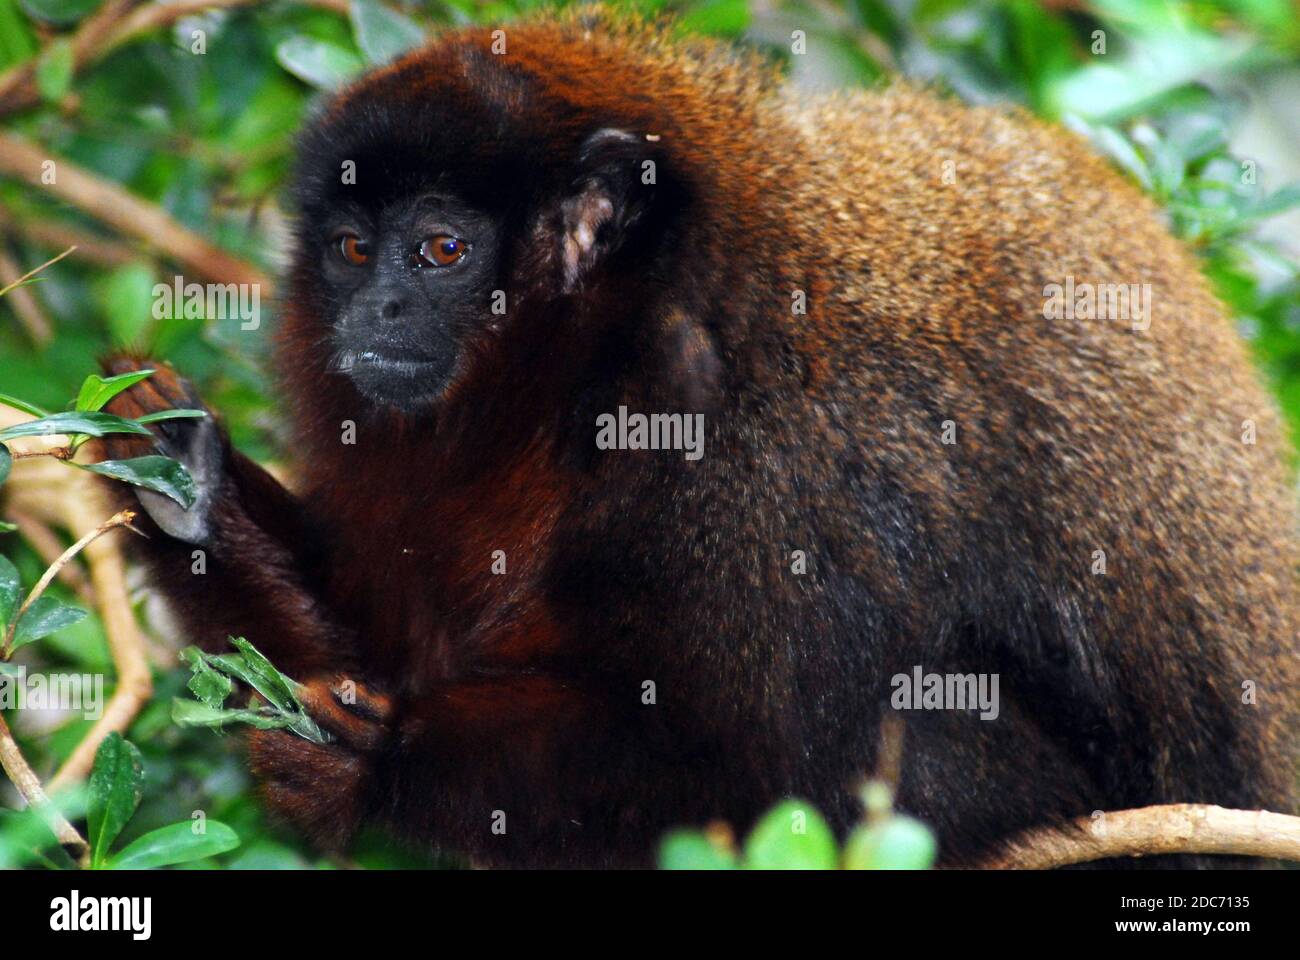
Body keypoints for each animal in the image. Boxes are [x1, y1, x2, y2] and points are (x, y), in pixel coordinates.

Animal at [98, 7, 1300, 863]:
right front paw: (188, 482)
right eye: (352, 250)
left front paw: (375, 762)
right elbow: (382, 642)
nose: (372, 314)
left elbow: (780, 761)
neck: (598, 380)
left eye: (439, 252)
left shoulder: (778, 468)